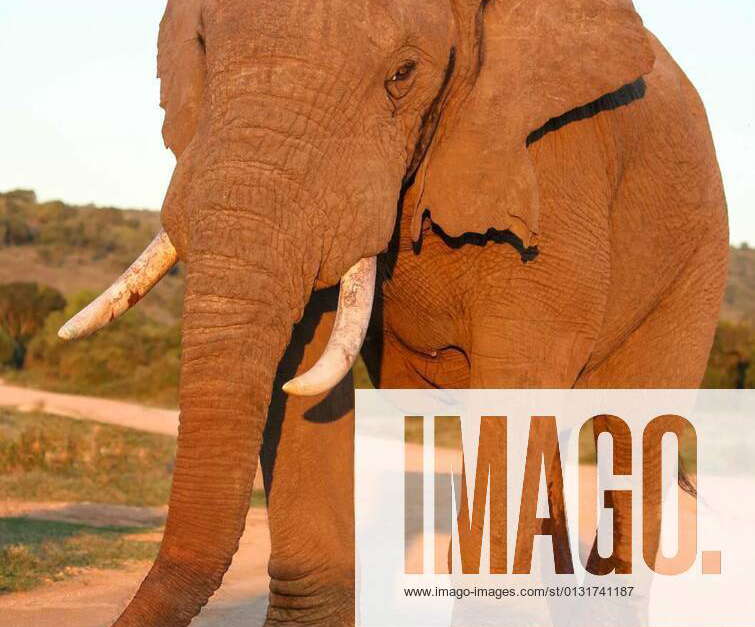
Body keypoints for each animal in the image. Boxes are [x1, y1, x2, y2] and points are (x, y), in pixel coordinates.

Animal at [59, 0, 728, 624]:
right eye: (201, 49)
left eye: (403, 75)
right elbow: (301, 366)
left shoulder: (555, 169)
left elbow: (516, 386)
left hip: (698, 262)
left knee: (635, 434)